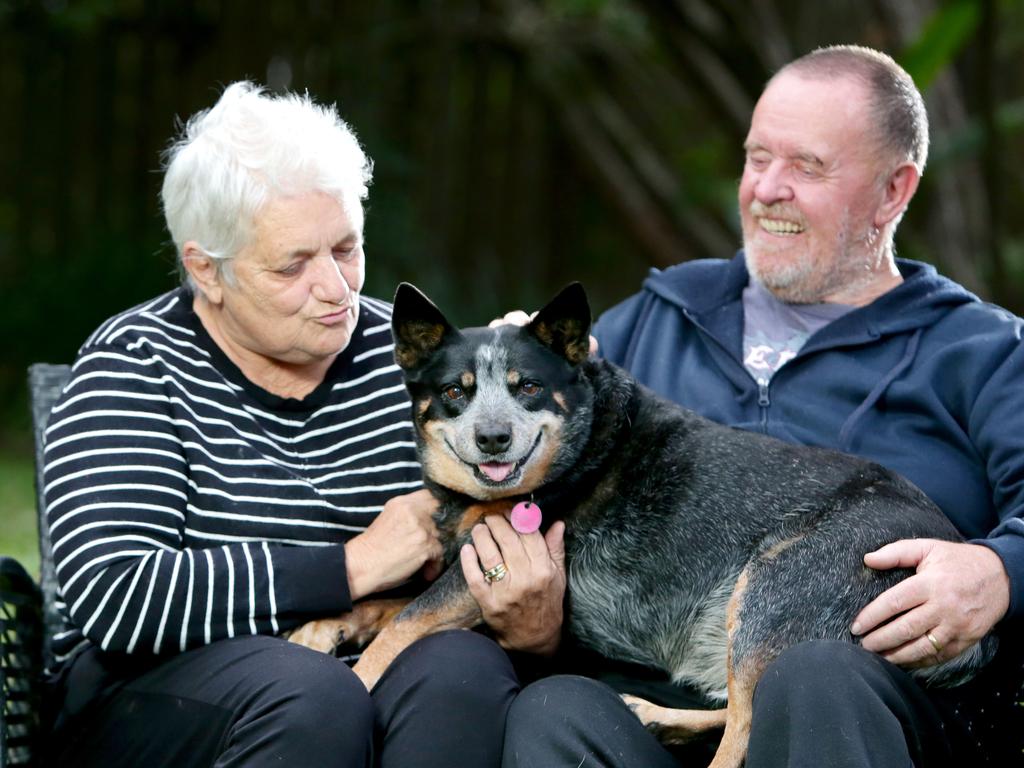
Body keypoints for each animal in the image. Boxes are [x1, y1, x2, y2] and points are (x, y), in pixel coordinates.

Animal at [292, 282, 995, 768]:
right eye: (456, 392)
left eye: (527, 387)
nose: (493, 438)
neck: (583, 444)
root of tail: (950, 550)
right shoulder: (470, 578)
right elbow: (387, 603)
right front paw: (324, 627)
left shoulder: (473, 578)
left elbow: (400, 627)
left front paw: (352, 679)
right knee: (738, 703)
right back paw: (658, 716)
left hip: (772, 589)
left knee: (747, 729)